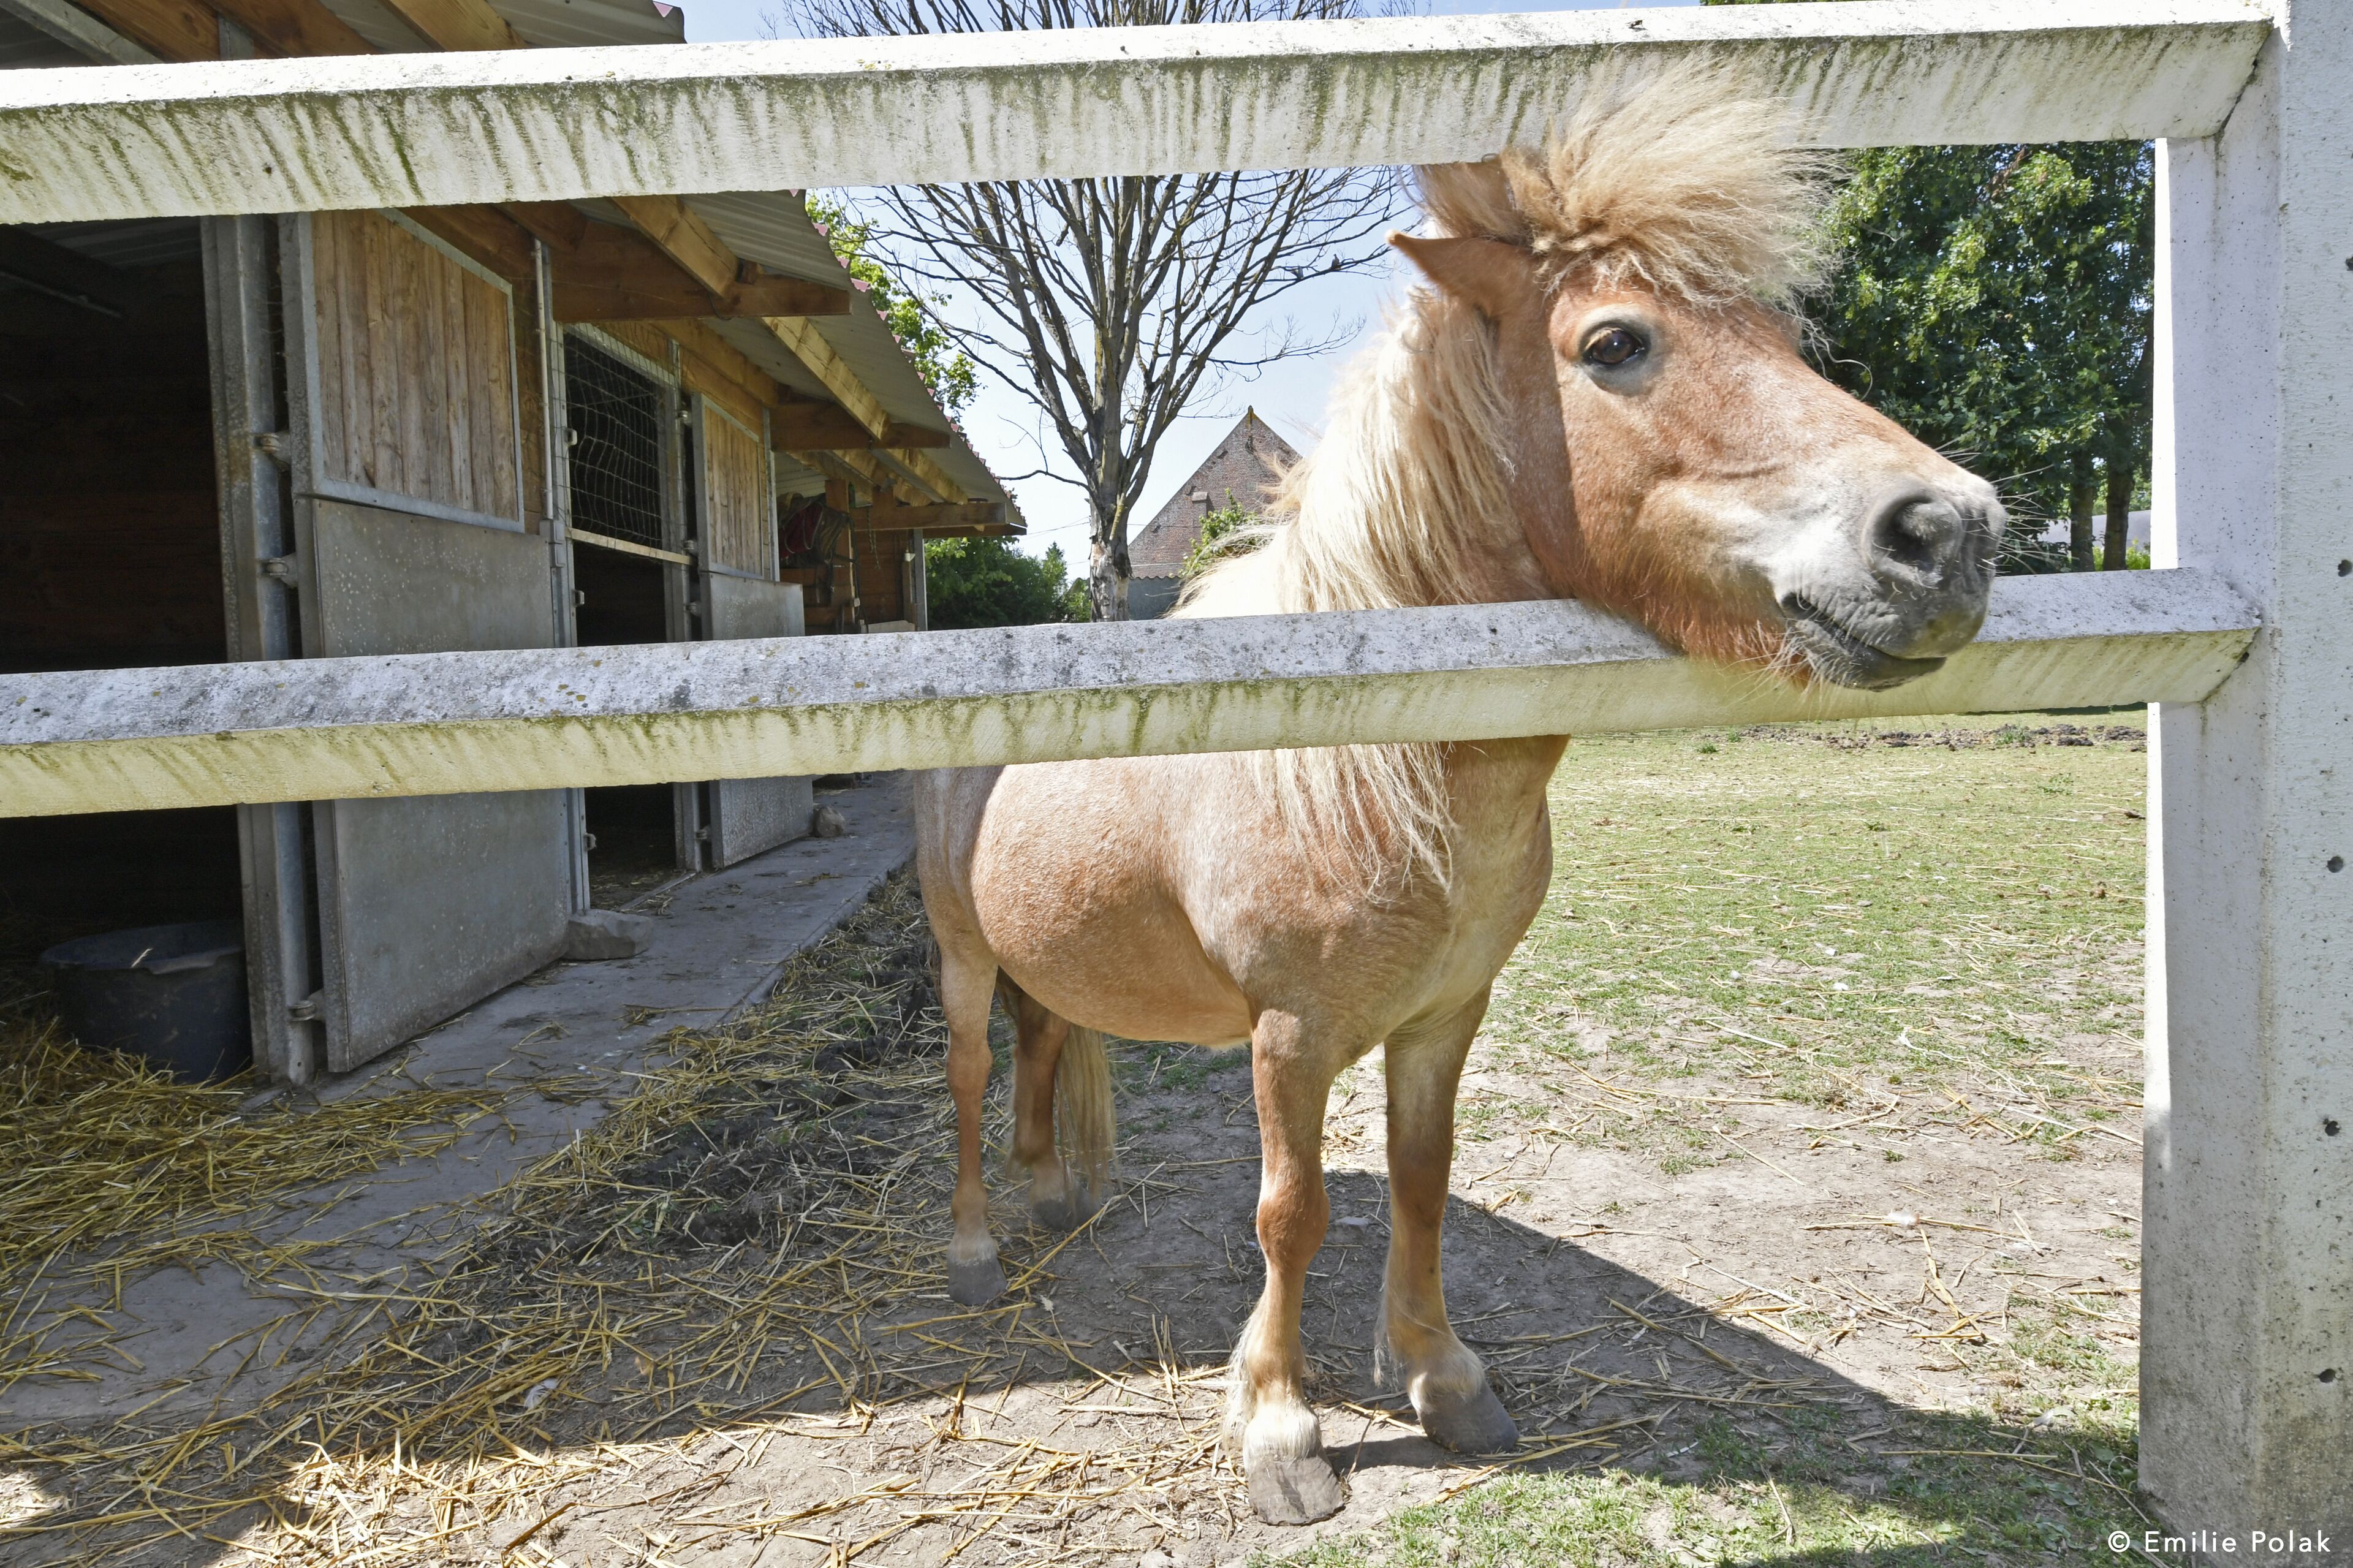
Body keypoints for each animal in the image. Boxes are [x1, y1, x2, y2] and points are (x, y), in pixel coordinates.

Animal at [913, 75, 2003, 1526]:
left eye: (1780, 335)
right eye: (1615, 343)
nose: (1948, 533)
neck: (1367, 760)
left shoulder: (1444, 1016)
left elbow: (1424, 1185)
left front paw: (1443, 1376)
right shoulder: (1289, 1034)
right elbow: (1293, 1211)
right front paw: (1281, 1428)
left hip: (1050, 949)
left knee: (1043, 1044)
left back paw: (1050, 1196)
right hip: (961, 953)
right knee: (975, 1069)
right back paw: (977, 1243)